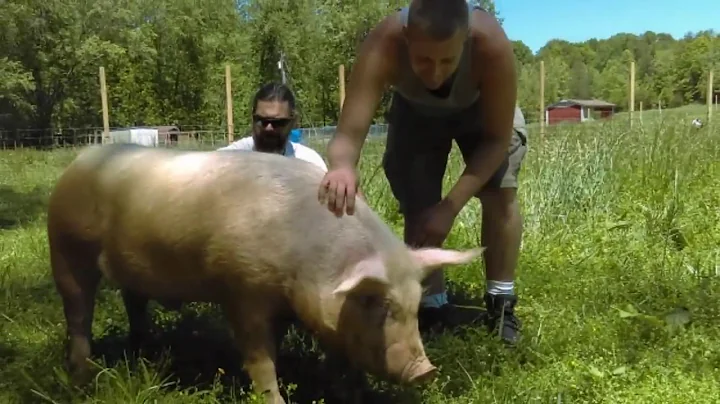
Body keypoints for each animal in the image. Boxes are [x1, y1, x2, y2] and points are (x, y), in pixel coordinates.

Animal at [47, 143, 483, 404]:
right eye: (376, 301)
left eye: (415, 305)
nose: (425, 371)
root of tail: (82, 157)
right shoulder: (242, 290)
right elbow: (259, 357)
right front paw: (273, 398)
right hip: (66, 248)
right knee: (78, 311)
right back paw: (82, 376)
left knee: (133, 301)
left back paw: (145, 353)